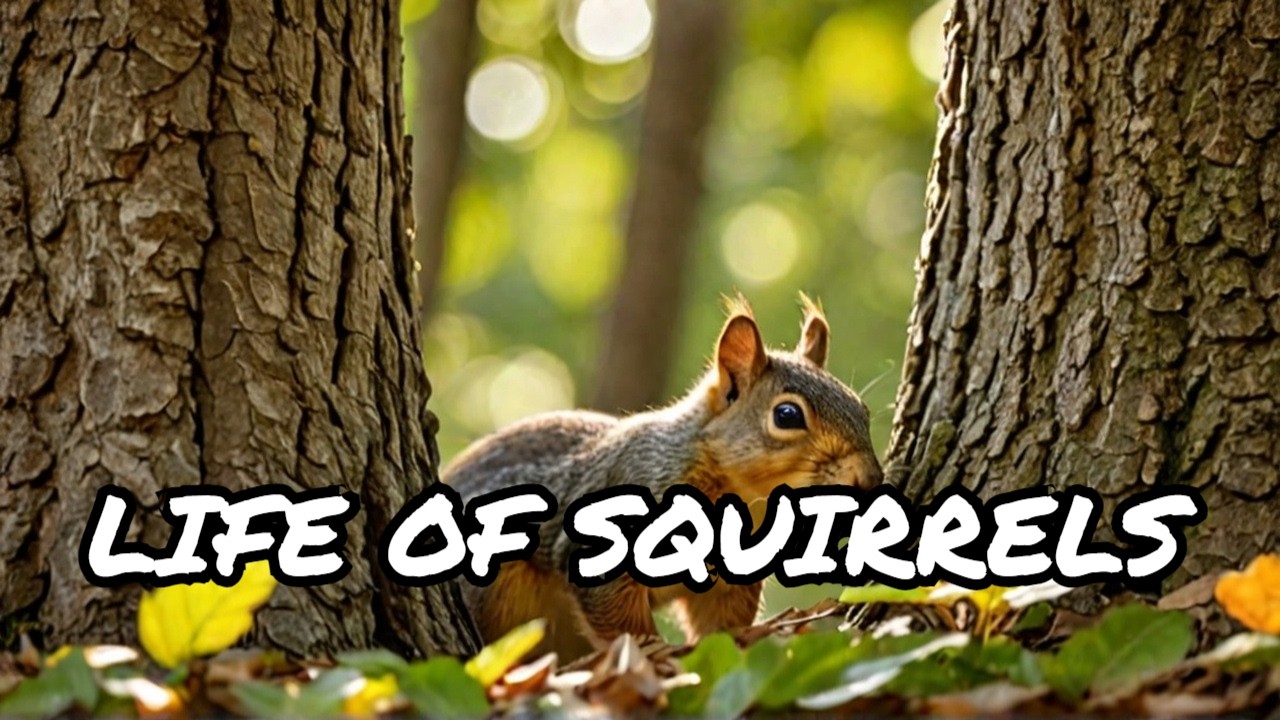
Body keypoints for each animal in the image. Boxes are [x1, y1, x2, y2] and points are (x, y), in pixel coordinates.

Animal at [442, 294, 884, 660]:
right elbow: (618, 611)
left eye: (861, 409)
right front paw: (654, 653)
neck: (743, 496)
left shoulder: (729, 577)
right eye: (787, 415)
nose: (870, 479)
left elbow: (721, 622)